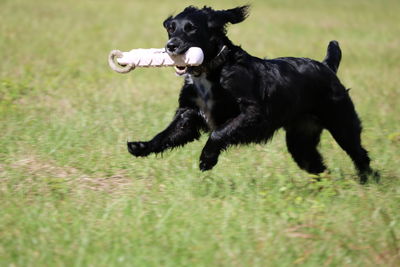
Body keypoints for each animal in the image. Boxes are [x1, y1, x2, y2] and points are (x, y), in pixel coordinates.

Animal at [127, 5, 376, 183]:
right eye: (171, 28)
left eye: (191, 28)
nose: (171, 45)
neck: (212, 70)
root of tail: (327, 66)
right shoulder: (189, 113)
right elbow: (165, 135)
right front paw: (141, 147)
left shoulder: (254, 113)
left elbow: (218, 133)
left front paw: (207, 159)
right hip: (301, 140)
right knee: (318, 166)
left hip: (342, 124)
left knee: (360, 154)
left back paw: (368, 181)